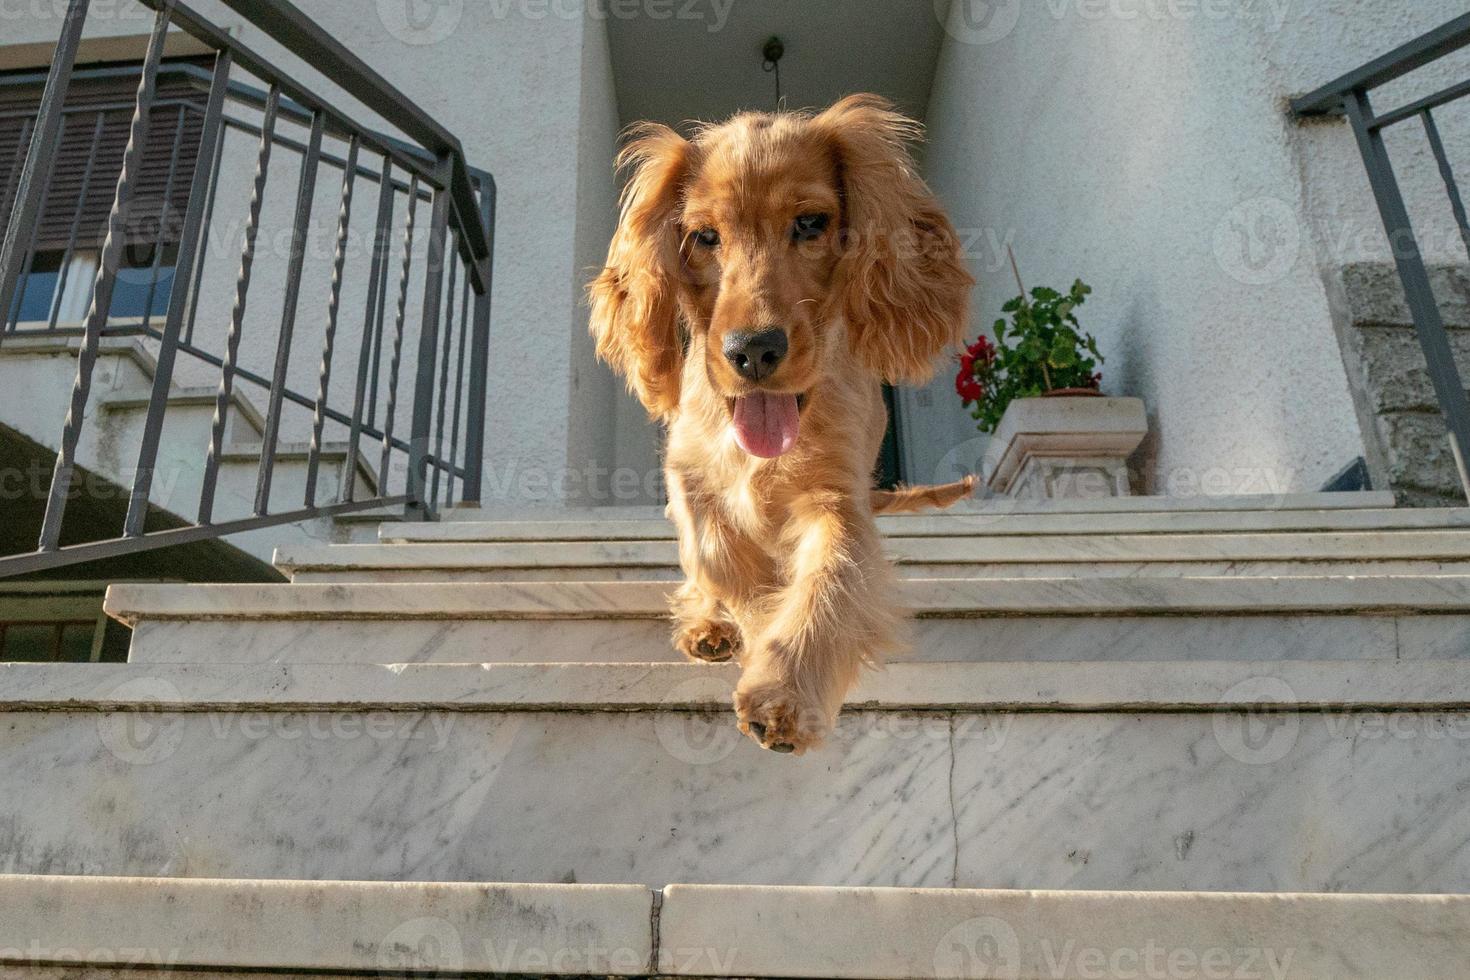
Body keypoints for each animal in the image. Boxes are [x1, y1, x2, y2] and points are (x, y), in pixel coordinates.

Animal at [585, 95, 976, 758]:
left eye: (811, 223)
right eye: (703, 236)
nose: (752, 351)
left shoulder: (839, 495)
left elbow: (832, 575)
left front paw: (786, 687)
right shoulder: (687, 475)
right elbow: (719, 557)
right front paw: (748, 618)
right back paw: (707, 625)